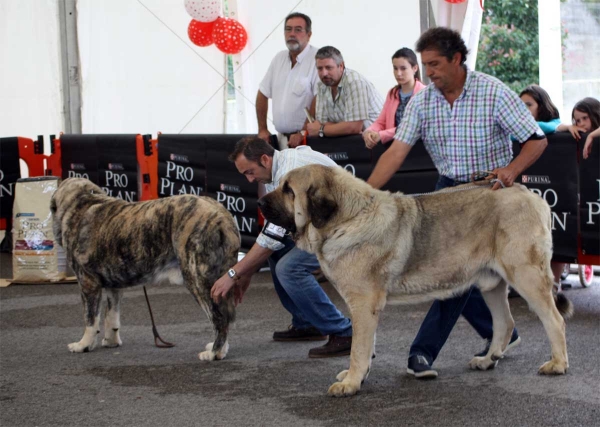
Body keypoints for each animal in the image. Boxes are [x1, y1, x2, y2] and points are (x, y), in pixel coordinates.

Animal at [51, 177, 239, 362]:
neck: (82, 202)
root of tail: (221, 216)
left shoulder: (87, 283)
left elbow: (90, 318)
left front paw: (83, 345)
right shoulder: (114, 288)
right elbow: (111, 317)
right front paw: (111, 342)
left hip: (196, 279)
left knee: (219, 319)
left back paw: (214, 353)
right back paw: (221, 349)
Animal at [258, 165, 572, 398]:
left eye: (288, 190)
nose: (259, 202)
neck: (346, 219)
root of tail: (531, 195)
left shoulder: (363, 304)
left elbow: (358, 348)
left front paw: (350, 383)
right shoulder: (366, 308)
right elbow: (366, 345)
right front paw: (357, 376)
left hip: (526, 276)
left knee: (554, 320)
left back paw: (557, 364)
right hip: (491, 284)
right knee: (504, 323)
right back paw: (487, 360)